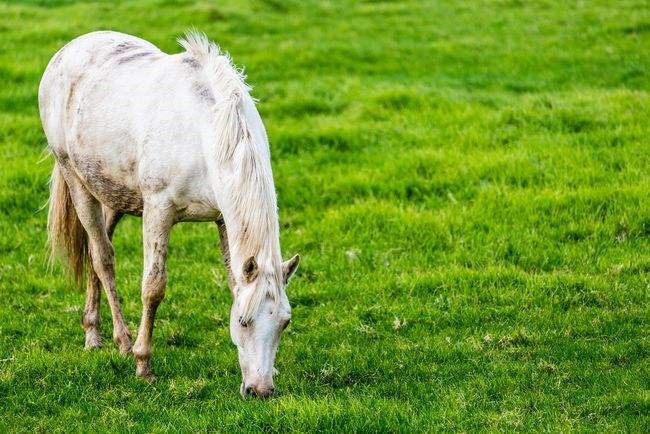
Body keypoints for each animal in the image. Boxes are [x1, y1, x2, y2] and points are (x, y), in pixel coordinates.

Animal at [41, 29, 300, 396]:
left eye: (284, 322)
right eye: (243, 321)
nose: (260, 390)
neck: (206, 132)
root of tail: (69, 48)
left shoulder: (222, 219)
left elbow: (232, 281)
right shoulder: (158, 210)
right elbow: (154, 287)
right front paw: (143, 364)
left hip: (111, 194)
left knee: (95, 250)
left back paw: (94, 331)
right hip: (76, 180)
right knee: (103, 257)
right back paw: (116, 340)